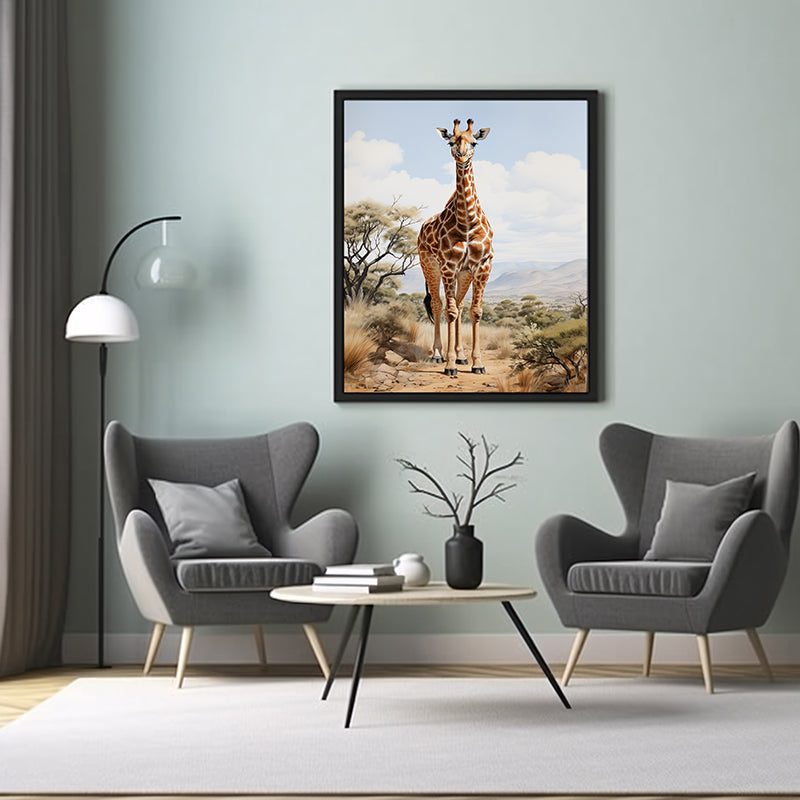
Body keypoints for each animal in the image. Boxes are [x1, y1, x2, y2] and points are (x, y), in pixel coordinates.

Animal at [417, 118, 493, 377]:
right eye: (451, 141)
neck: (467, 222)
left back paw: (461, 356)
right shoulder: (449, 266)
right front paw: (449, 365)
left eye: (474, 143)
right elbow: (448, 311)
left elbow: (475, 311)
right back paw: (438, 355)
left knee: (459, 306)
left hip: (464, 273)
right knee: (438, 304)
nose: (462, 156)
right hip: (429, 266)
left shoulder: (482, 266)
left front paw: (477, 363)